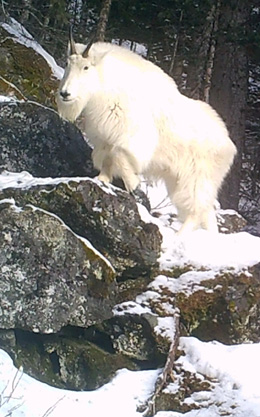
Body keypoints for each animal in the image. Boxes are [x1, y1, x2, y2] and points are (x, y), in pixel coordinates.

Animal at [57, 33, 238, 234]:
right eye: (67, 63)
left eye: (86, 67)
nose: (65, 93)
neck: (107, 87)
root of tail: (229, 145)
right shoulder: (106, 138)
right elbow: (107, 160)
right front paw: (102, 180)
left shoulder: (132, 140)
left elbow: (119, 156)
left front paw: (133, 184)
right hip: (181, 180)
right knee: (207, 216)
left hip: (196, 180)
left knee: (195, 212)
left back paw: (178, 237)